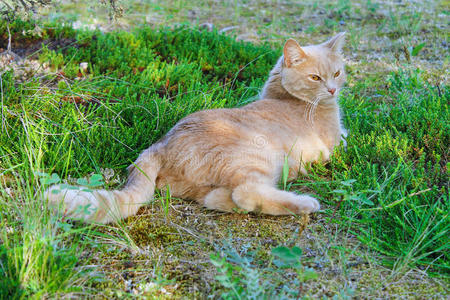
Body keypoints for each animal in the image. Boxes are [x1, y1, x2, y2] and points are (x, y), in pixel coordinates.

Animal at [45, 33, 348, 225]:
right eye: (315, 78)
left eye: (337, 73)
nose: (333, 90)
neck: (283, 96)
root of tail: (158, 145)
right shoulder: (334, 143)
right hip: (255, 158)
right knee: (246, 193)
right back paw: (305, 204)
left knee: (218, 198)